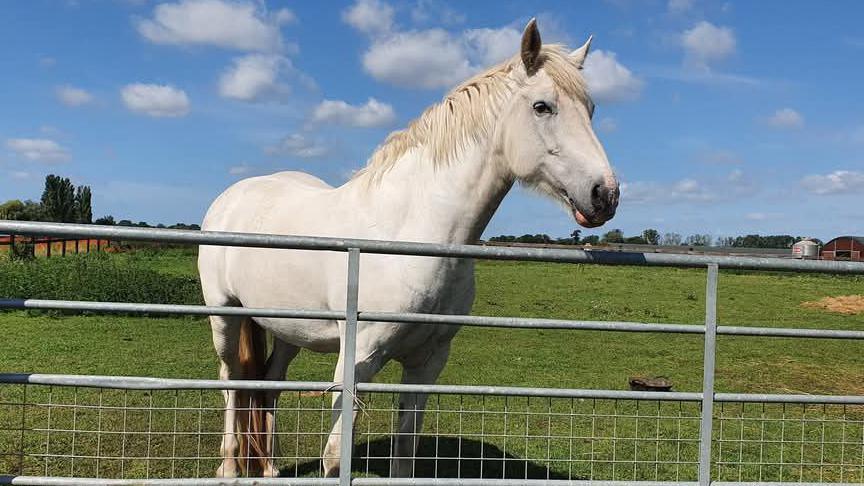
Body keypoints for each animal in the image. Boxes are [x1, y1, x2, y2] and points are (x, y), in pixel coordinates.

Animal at [199, 19, 616, 478]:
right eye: (543, 107)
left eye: (591, 109)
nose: (605, 194)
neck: (412, 235)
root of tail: (234, 194)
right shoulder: (358, 361)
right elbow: (335, 456)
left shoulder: (426, 363)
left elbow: (406, 448)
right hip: (225, 316)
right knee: (231, 381)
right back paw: (230, 467)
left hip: (288, 327)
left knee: (268, 382)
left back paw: (270, 468)